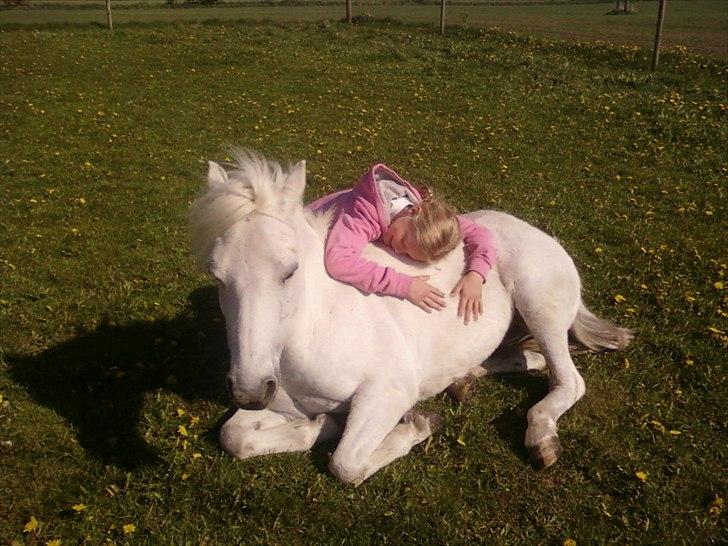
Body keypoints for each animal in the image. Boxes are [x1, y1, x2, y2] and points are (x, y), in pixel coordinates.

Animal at [189, 151, 632, 485]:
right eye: (217, 275)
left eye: (290, 270)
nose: (249, 391)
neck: (317, 327)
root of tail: (539, 232)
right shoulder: (279, 403)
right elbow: (234, 436)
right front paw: (322, 424)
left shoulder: (388, 391)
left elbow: (345, 464)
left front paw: (418, 424)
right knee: (530, 359)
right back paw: (464, 381)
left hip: (539, 304)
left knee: (568, 380)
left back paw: (540, 437)